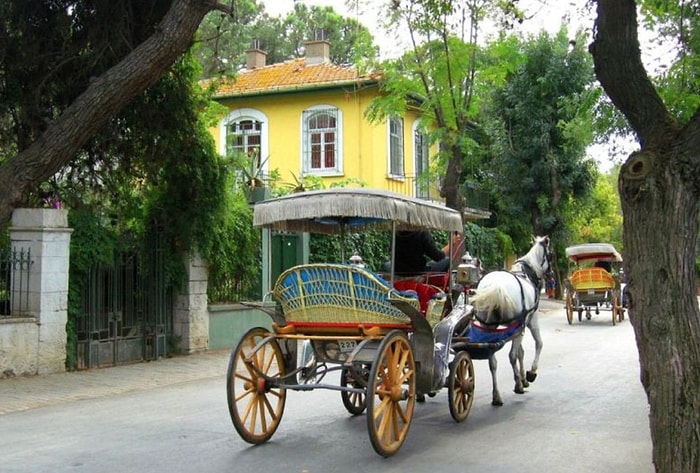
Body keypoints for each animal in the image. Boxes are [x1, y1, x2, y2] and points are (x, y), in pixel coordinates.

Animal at [470, 236, 552, 406]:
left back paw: (496, 396)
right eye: (551, 255)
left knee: (492, 360)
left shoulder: (517, 328)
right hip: (518, 324)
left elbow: (521, 352)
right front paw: (530, 374)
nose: (551, 273)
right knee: (511, 355)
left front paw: (523, 378)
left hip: (488, 326)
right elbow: (538, 344)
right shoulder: (530, 320)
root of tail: (496, 287)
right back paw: (518, 386)